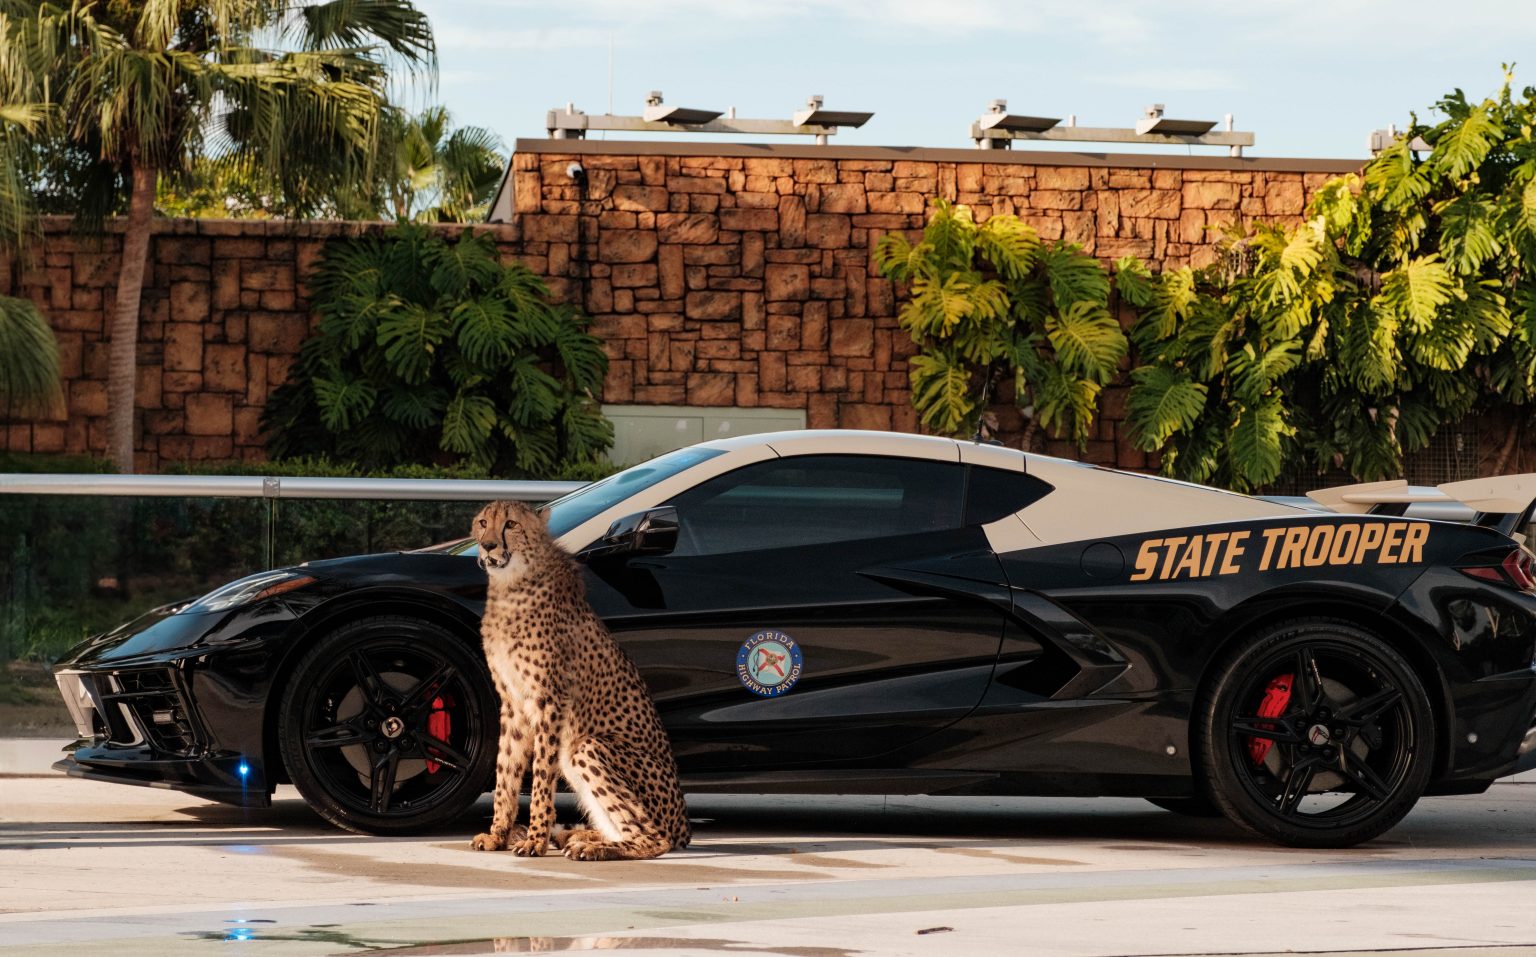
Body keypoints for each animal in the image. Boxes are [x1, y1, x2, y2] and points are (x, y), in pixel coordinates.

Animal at [467, 499, 690, 861]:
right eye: (483, 523)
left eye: (511, 524)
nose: (487, 545)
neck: (510, 586)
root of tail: (685, 827)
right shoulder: (513, 702)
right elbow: (506, 769)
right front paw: (498, 834)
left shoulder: (549, 700)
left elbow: (541, 775)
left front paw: (535, 839)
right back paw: (580, 837)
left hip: (587, 746)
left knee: (655, 839)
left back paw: (595, 848)